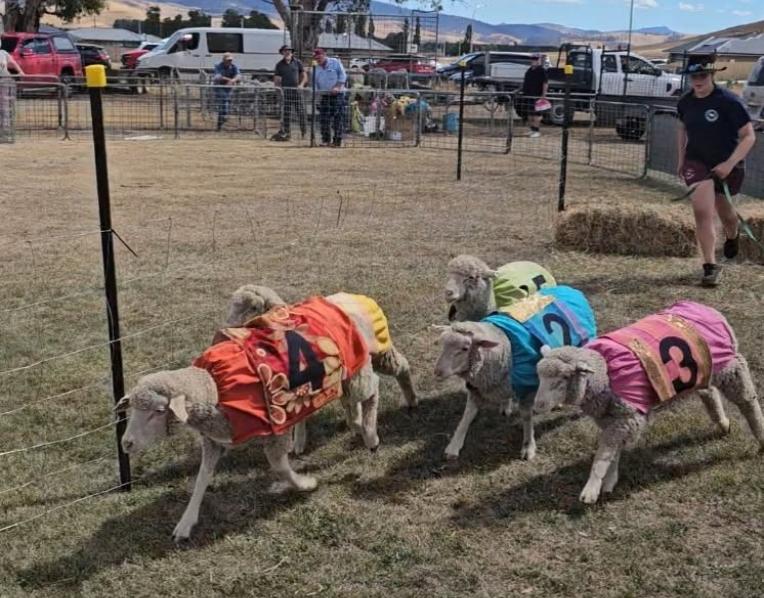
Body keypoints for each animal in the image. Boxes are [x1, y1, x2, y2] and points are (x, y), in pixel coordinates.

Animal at [116, 296, 387, 542]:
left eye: (159, 411)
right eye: (134, 409)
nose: (126, 444)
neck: (214, 388)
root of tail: (344, 299)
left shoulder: (276, 431)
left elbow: (280, 468)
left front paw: (306, 484)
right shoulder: (214, 440)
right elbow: (201, 478)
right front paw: (186, 522)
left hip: (357, 372)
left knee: (373, 387)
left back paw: (370, 435)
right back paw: (350, 426)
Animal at [225, 285, 417, 455]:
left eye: (252, 308)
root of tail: (358, 296)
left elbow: (368, 398)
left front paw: (370, 438)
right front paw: (298, 443)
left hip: (375, 355)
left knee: (397, 370)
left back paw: (410, 401)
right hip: (351, 368)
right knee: (352, 398)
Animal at [433, 285, 597, 461]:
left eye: (465, 348)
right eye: (441, 344)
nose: (437, 372)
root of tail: (570, 288)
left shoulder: (526, 388)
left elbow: (526, 417)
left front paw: (528, 446)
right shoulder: (477, 387)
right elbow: (467, 416)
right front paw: (454, 446)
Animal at [535, 300, 764, 505]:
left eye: (563, 379)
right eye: (540, 377)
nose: (538, 405)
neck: (605, 374)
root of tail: (707, 308)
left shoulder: (626, 417)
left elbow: (602, 458)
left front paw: (591, 490)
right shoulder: (615, 419)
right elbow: (613, 453)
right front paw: (609, 481)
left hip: (731, 367)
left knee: (748, 403)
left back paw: (760, 438)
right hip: (704, 371)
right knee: (709, 392)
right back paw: (722, 423)